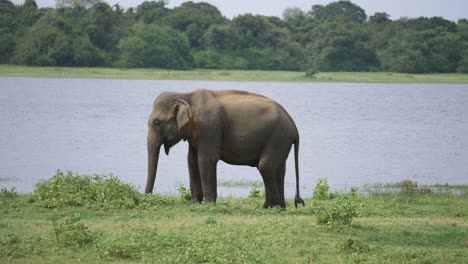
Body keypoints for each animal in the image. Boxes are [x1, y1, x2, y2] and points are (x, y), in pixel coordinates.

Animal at [147, 88, 308, 208]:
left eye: (157, 122)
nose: (147, 196)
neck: (185, 95)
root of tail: (294, 126)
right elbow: (191, 161)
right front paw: (192, 203)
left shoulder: (209, 128)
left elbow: (205, 159)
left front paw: (208, 204)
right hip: (282, 140)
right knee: (279, 168)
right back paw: (280, 207)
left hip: (278, 136)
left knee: (265, 166)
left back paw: (267, 207)